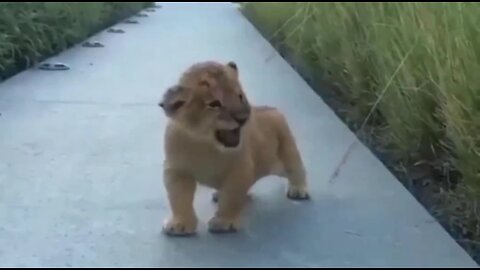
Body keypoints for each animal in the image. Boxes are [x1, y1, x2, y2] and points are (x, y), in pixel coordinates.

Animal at [158, 60, 308, 235]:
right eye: (214, 104)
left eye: (240, 96)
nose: (242, 118)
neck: (204, 144)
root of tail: (271, 108)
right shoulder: (177, 170)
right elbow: (179, 199)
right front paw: (180, 224)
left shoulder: (239, 170)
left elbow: (231, 198)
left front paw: (223, 223)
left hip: (286, 151)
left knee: (296, 169)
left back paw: (298, 189)